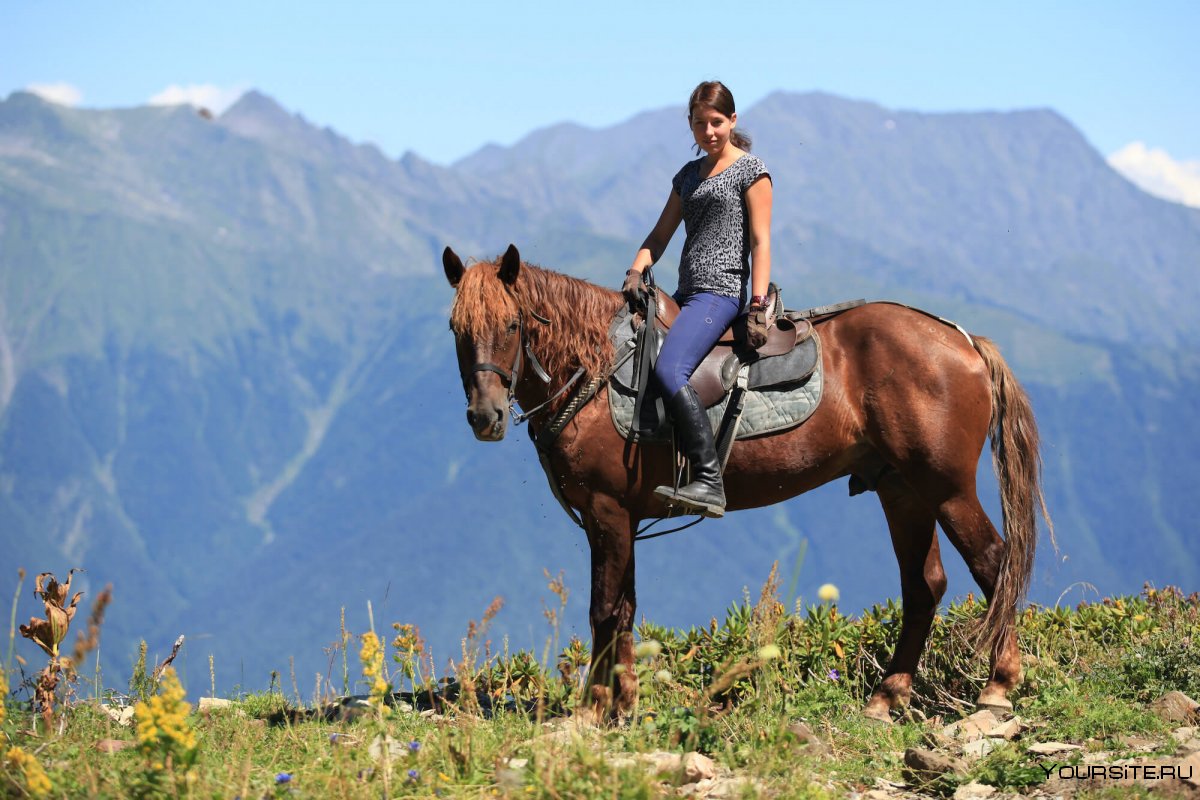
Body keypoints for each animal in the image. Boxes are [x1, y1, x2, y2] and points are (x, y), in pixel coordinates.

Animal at [444, 242, 1051, 719]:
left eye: (512, 325)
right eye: (456, 330)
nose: (484, 417)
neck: (596, 366)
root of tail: (965, 343)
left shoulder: (606, 510)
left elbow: (603, 610)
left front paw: (594, 710)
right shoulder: (620, 519)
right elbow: (625, 611)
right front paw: (625, 705)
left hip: (947, 488)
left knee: (994, 563)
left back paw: (998, 686)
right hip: (902, 490)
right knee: (924, 586)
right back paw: (887, 696)